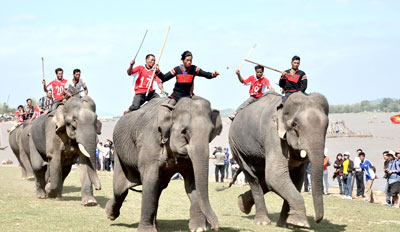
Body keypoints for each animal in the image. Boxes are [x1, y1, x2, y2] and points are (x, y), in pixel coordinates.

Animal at [105, 96, 222, 232]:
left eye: (211, 132)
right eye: (184, 131)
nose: (215, 227)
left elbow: (192, 182)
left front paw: (199, 228)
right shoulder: (150, 143)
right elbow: (150, 181)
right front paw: (146, 230)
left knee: (157, 189)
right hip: (118, 153)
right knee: (119, 189)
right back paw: (110, 214)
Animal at [228, 91, 328, 228]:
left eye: (327, 126)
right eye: (295, 124)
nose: (318, 220)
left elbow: (296, 178)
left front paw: (287, 224)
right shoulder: (272, 134)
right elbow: (276, 175)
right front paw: (301, 224)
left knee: (264, 179)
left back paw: (242, 204)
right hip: (236, 147)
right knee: (253, 178)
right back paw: (262, 222)